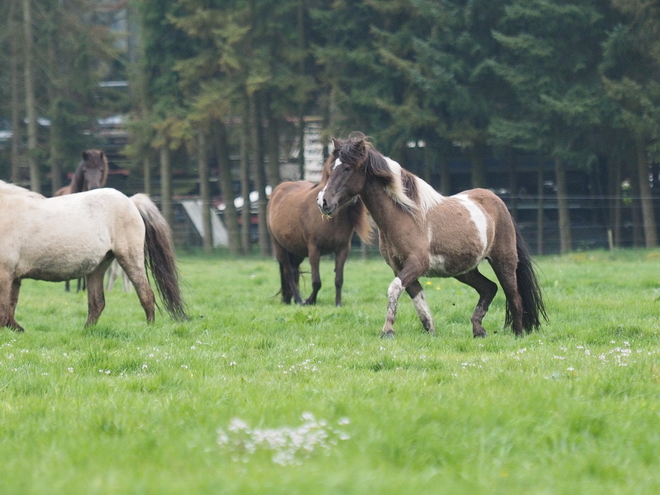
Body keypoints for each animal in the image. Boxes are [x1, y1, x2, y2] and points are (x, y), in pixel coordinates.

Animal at [0, 180, 187, 332]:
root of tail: (131, 201)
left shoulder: (5, 274)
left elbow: (4, 310)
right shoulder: (13, 277)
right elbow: (10, 308)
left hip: (130, 259)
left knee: (146, 295)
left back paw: (149, 328)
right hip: (98, 267)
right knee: (97, 303)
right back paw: (86, 331)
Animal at [266, 157, 372, 308]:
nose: (354, 199)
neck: (331, 220)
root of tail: (276, 192)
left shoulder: (343, 249)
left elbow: (339, 279)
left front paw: (338, 303)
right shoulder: (314, 249)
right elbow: (316, 281)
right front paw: (310, 301)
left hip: (296, 251)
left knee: (294, 270)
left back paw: (290, 299)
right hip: (280, 247)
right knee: (289, 272)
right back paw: (298, 300)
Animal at [318, 134, 544, 340]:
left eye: (347, 168)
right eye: (332, 167)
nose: (323, 202)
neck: (404, 216)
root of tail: (498, 202)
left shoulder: (417, 263)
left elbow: (394, 289)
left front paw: (387, 331)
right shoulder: (399, 267)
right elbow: (417, 298)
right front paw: (430, 331)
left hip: (503, 261)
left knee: (514, 297)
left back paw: (517, 335)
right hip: (464, 270)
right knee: (489, 288)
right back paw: (478, 331)